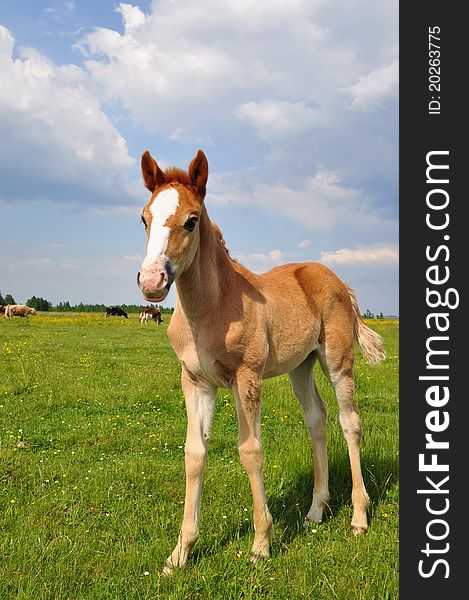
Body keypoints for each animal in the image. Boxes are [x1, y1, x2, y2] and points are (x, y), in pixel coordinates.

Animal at [135, 148, 384, 576]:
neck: (212, 309)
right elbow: (194, 453)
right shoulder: (195, 381)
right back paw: (315, 511)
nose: (152, 282)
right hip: (302, 366)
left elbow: (250, 451)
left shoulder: (246, 377)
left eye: (191, 220)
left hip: (337, 360)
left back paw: (358, 517)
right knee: (316, 420)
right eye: (144, 218)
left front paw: (261, 545)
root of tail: (338, 280)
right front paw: (180, 553)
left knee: (349, 422)